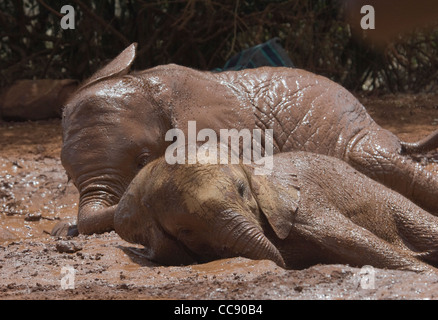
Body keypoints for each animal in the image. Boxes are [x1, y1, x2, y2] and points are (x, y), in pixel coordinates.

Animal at [54, 43, 438, 235]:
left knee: (375, 159)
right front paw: (63, 231)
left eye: (142, 160)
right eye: (69, 177)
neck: (154, 84)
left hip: (358, 137)